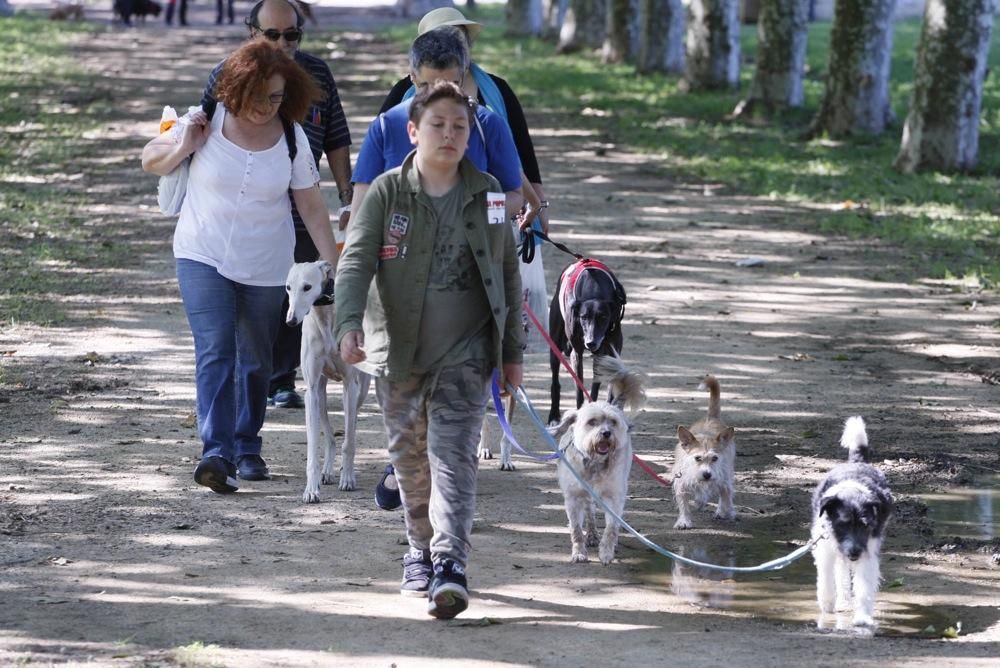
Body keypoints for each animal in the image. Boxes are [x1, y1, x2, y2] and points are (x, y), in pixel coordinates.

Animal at [286, 260, 372, 500]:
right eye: (288, 287)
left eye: (307, 287)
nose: (290, 321)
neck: (326, 320)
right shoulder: (312, 390)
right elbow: (314, 445)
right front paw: (311, 489)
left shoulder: (350, 386)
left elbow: (349, 442)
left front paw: (348, 478)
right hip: (321, 394)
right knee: (330, 436)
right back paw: (327, 471)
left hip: (361, 390)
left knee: (350, 429)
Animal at [548, 258, 624, 426]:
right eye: (583, 317)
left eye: (603, 317)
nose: (590, 343)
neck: (594, 290)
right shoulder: (577, 352)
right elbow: (579, 386)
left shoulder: (609, 352)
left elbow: (599, 385)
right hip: (555, 343)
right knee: (555, 379)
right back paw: (553, 415)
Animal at [808, 414, 896, 628]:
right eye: (843, 524)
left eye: (865, 525)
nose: (855, 552)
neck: (852, 490)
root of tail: (856, 461)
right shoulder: (824, 547)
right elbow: (826, 578)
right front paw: (827, 603)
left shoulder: (868, 550)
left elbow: (864, 586)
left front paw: (863, 617)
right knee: (840, 572)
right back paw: (841, 601)